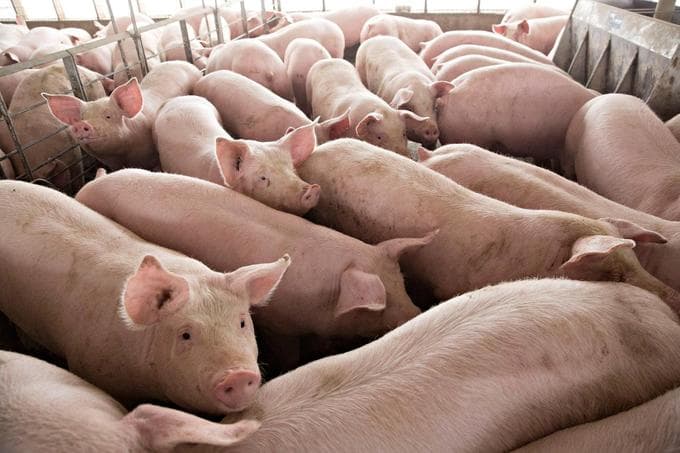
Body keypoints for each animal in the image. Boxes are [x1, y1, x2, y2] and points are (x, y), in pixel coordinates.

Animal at [76, 169, 426, 368]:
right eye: (378, 303)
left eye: (402, 283)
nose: (417, 314)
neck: (324, 298)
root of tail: (88, 184)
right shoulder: (279, 324)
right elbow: (289, 355)